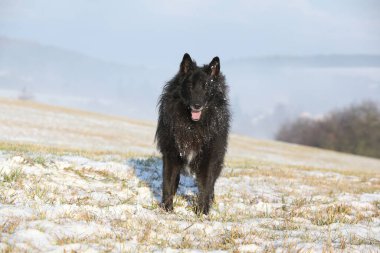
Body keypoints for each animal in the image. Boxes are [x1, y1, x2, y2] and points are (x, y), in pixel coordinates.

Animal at [155, 53, 232, 215]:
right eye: (190, 86)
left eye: (206, 86)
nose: (197, 105)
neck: (192, 126)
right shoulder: (171, 154)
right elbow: (168, 183)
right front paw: (167, 209)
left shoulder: (208, 158)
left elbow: (205, 186)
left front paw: (202, 212)